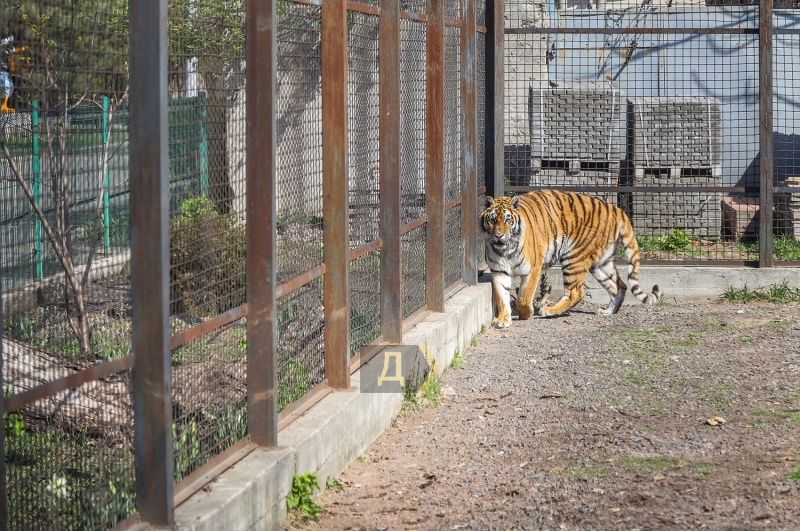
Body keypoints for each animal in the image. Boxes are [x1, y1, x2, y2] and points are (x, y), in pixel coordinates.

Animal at [482, 191, 656, 328]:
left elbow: (523, 297)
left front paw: (526, 313)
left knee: (576, 292)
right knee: (619, 285)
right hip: (600, 262)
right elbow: (501, 297)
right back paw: (607, 311)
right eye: (492, 220)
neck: (504, 248)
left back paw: (549, 311)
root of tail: (617, 209)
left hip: (573, 256)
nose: (498, 235)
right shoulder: (499, 271)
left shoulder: (533, 268)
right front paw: (503, 319)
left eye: (508, 220)